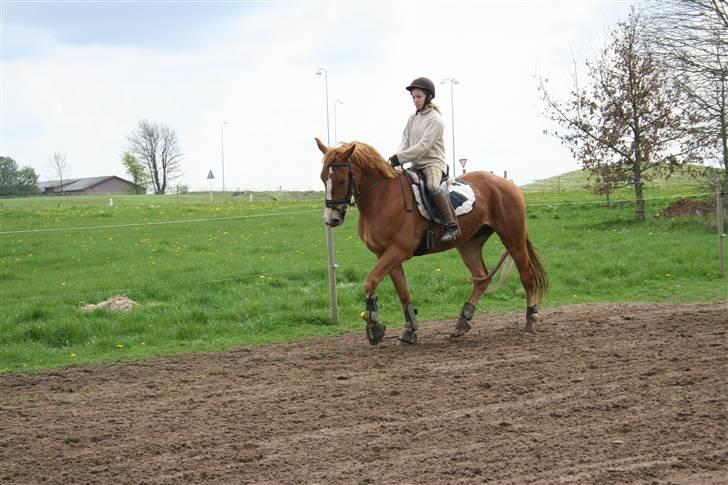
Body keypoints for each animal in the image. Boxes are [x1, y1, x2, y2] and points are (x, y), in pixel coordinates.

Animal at [316, 137, 548, 344]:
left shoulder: (398, 251)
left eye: (341, 180)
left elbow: (371, 280)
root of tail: (507, 183)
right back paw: (462, 322)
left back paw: (530, 320)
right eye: (322, 177)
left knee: (526, 275)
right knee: (481, 278)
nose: (331, 219)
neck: (381, 197)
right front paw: (409, 330)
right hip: (469, 244)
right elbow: (402, 291)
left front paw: (374, 327)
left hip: (512, 237)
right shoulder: (386, 254)